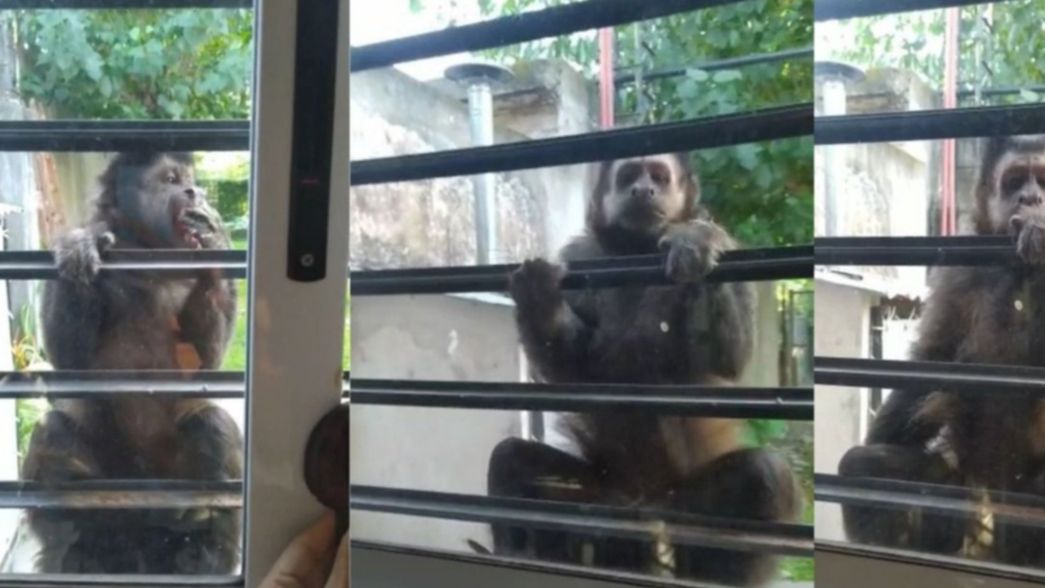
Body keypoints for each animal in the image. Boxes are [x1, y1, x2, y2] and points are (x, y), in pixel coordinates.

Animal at [20, 152, 242, 574]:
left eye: (189, 180)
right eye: (172, 180)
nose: (194, 191)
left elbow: (207, 363)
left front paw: (212, 237)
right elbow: (67, 363)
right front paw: (82, 249)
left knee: (211, 423)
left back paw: (203, 542)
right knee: (53, 429)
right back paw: (82, 539)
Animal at [486, 153, 801, 586]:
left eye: (659, 176)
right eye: (629, 176)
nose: (643, 190)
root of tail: (642, 505)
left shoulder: (729, 243)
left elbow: (729, 358)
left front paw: (694, 242)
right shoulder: (581, 254)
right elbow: (573, 370)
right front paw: (541, 303)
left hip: (677, 508)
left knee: (763, 473)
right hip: (603, 496)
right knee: (511, 460)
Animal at [838, 134, 1045, 567]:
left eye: (1044, 180)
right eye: (1016, 180)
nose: (1031, 198)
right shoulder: (960, 270)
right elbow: (934, 358)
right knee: (871, 468)